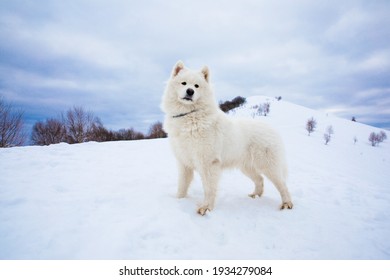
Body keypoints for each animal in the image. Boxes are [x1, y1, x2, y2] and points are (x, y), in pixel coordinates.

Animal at [161, 60, 292, 214]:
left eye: (196, 86)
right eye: (184, 83)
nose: (190, 91)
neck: (190, 115)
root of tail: (273, 130)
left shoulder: (208, 162)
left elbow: (209, 188)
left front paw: (206, 208)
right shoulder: (184, 162)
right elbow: (182, 185)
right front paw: (179, 200)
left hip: (269, 166)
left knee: (283, 185)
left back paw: (287, 204)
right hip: (247, 167)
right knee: (260, 179)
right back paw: (255, 195)